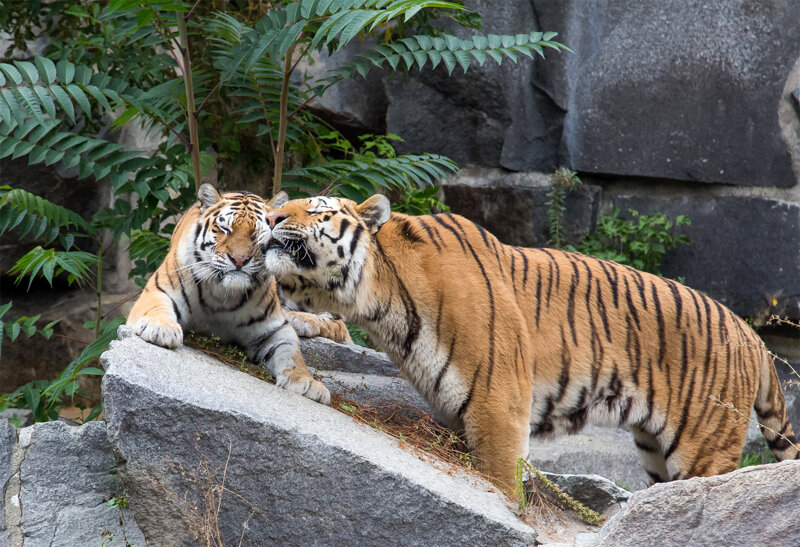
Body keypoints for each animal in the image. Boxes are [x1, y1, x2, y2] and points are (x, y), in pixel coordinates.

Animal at [126, 183, 352, 405]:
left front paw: (307, 382)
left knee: (339, 323)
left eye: (259, 233)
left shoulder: (275, 328)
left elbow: (292, 355)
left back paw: (301, 320)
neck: (221, 295)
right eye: (225, 229)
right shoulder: (159, 290)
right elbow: (156, 309)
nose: (239, 259)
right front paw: (161, 329)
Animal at [262, 193, 799, 489]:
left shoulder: (499, 405)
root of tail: (754, 337)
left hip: (704, 450)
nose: (269, 216)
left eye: (315, 208)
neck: (380, 298)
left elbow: (501, 484)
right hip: (656, 452)